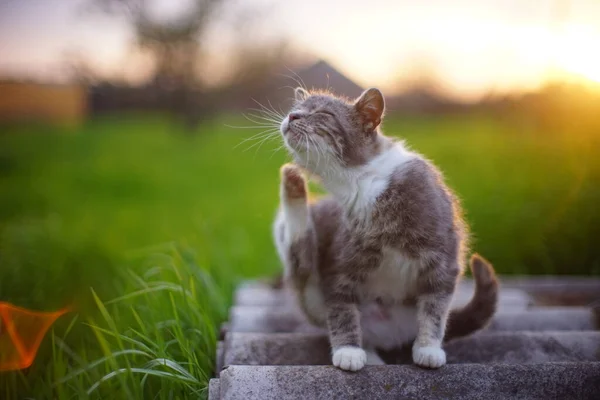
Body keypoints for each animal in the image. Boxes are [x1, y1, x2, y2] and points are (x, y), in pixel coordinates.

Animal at [272, 85, 496, 372]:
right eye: (295, 109)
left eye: (323, 113)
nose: (292, 117)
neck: (359, 181)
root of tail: (389, 334)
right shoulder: (343, 259)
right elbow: (341, 305)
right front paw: (348, 350)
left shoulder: (442, 252)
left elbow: (436, 305)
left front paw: (428, 348)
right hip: (309, 286)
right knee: (300, 254)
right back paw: (292, 184)